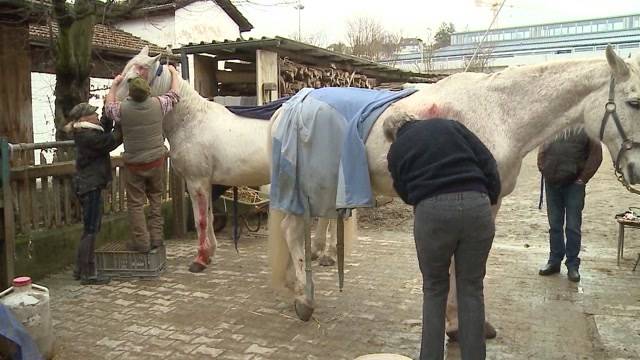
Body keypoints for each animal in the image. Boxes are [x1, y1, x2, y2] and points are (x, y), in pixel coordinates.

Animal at [268, 47, 640, 320]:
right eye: (634, 101)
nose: (635, 171)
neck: (500, 113)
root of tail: (289, 105)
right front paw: (455, 323)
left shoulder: (490, 202)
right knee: (292, 230)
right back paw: (304, 299)